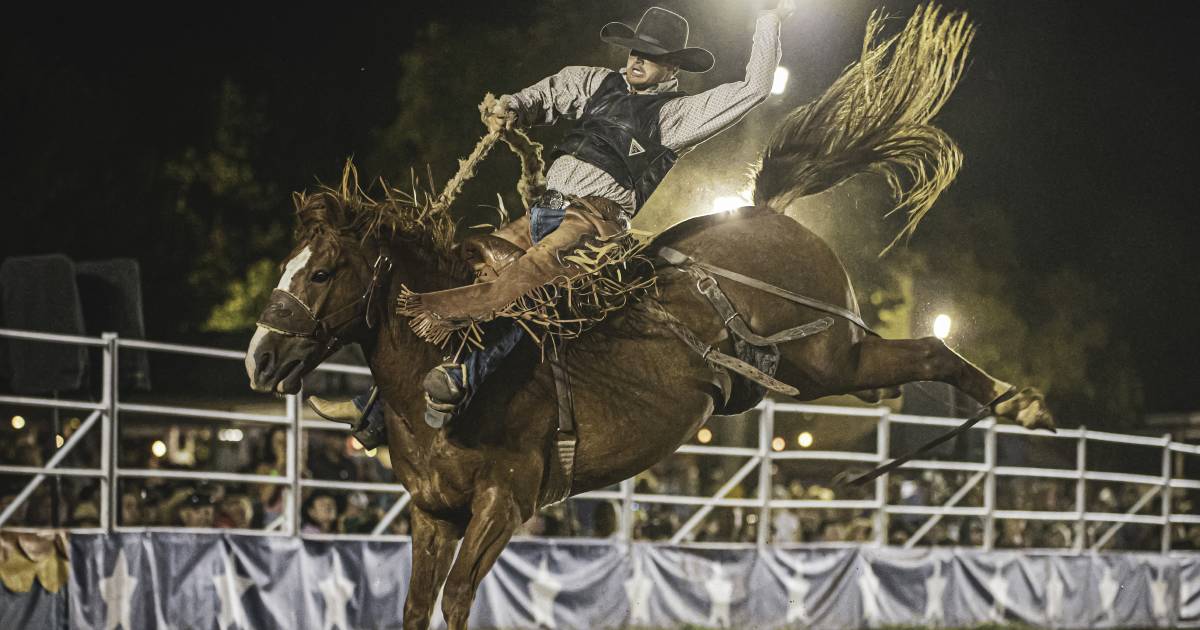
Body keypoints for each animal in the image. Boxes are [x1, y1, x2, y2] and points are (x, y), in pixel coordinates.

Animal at [243, 6, 1051, 628]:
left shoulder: (504, 503)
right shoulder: (431, 513)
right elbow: (417, 608)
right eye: (288, 263)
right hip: (809, 366)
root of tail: (767, 209)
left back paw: (1024, 402)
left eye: (322, 271)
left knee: (930, 354)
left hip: (830, 356)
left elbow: (458, 602)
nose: (259, 356)